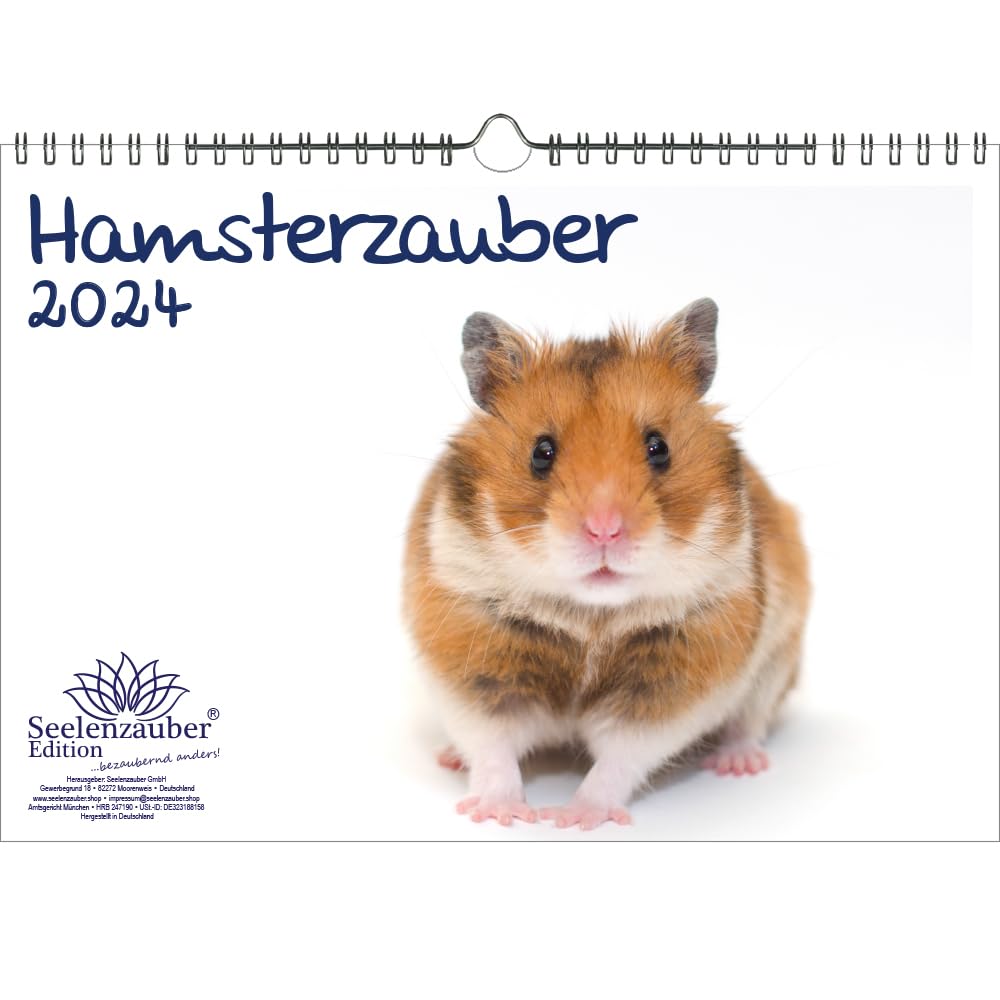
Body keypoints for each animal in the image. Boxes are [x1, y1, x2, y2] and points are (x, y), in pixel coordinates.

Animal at [403, 299, 810, 830]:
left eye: (659, 448)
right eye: (541, 452)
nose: (604, 530)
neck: (590, 616)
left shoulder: (672, 684)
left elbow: (619, 759)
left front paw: (573, 818)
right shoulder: (472, 664)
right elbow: (493, 747)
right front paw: (498, 815)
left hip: (779, 661)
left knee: (750, 721)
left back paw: (739, 763)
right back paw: (450, 757)